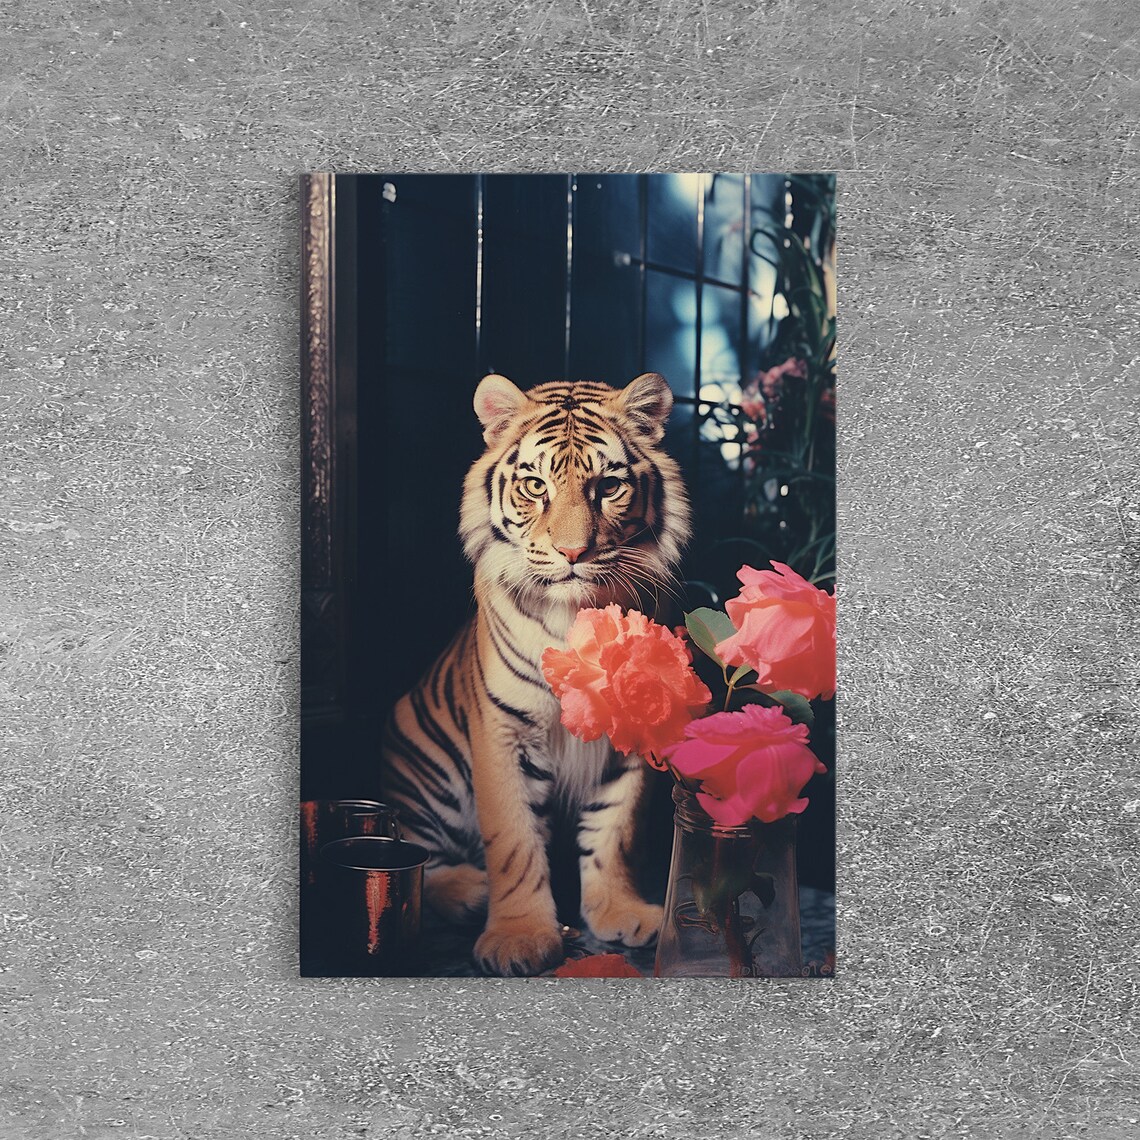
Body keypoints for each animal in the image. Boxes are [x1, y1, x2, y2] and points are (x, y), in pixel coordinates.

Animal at [378, 371, 691, 976]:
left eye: (608, 487)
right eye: (535, 486)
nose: (572, 552)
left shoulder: (632, 733)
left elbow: (617, 829)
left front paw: (620, 912)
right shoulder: (503, 733)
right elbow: (514, 838)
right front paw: (519, 938)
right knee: (417, 854)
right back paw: (470, 893)